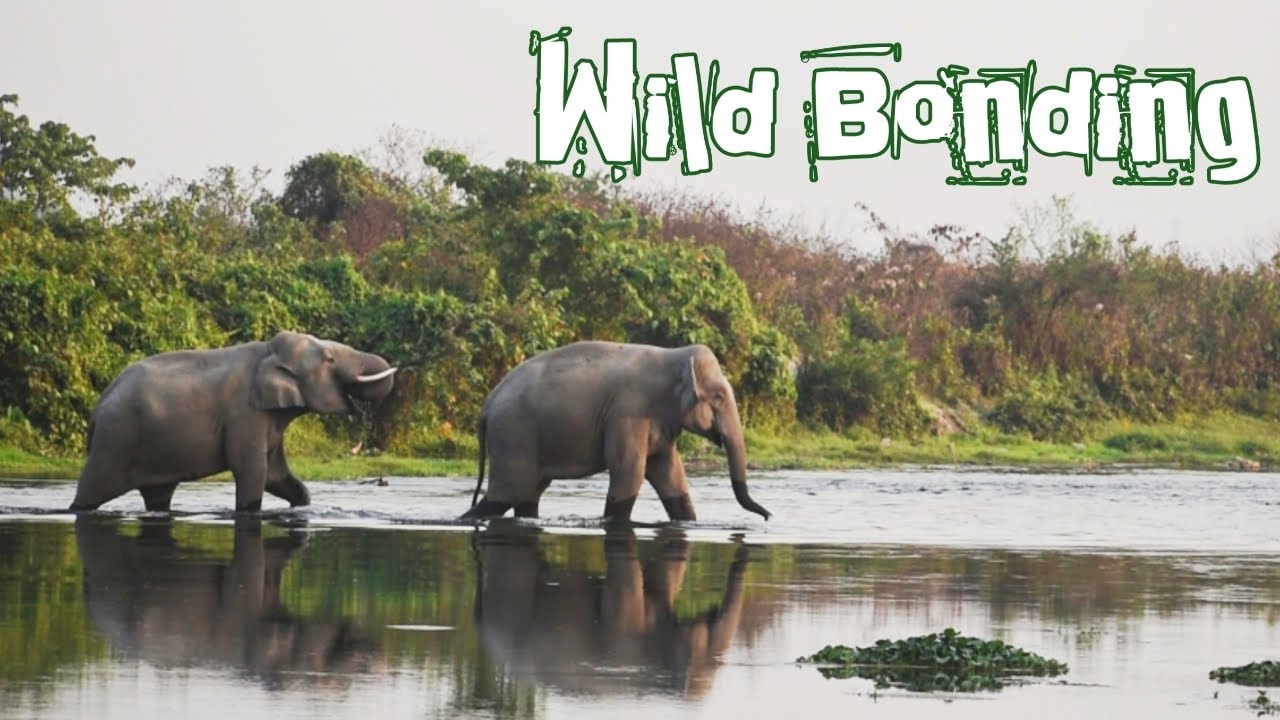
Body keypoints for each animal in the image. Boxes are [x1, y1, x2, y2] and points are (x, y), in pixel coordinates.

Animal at [70, 331, 396, 512]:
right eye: (329, 359)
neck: (267, 351)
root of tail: (97, 409)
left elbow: (277, 475)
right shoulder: (245, 414)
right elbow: (252, 471)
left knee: (158, 497)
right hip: (115, 440)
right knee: (89, 492)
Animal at [462, 341, 770, 522]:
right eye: (718, 396)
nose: (768, 516)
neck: (674, 355)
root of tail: (487, 404)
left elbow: (669, 472)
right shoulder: (628, 412)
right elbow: (629, 469)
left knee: (528, 494)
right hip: (513, 432)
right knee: (509, 492)